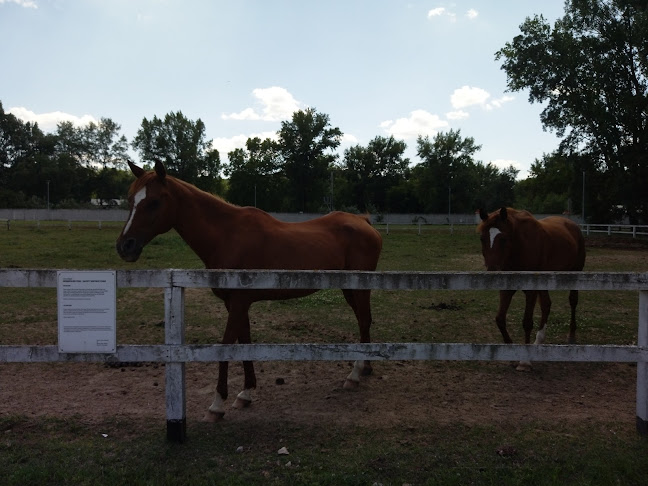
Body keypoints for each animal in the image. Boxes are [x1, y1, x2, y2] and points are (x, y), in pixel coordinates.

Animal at [116, 161, 382, 420]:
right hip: (349, 288)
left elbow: (226, 345)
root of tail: (363, 222)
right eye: (130, 199)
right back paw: (365, 367)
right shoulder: (236, 303)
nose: (125, 246)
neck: (227, 235)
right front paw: (246, 393)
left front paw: (217, 404)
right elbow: (244, 341)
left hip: (359, 288)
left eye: (154, 201)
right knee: (364, 320)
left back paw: (355, 374)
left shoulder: (239, 302)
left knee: (363, 320)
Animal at [476, 207, 588, 370]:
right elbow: (500, 319)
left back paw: (571, 336)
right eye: (482, 239)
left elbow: (527, 322)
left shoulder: (531, 290)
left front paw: (524, 361)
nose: (493, 272)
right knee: (546, 305)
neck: (519, 248)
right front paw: (511, 353)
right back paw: (538, 341)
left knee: (573, 301)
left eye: (503, 239)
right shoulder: (507, 288)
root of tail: (572, 225)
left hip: (575, 274)